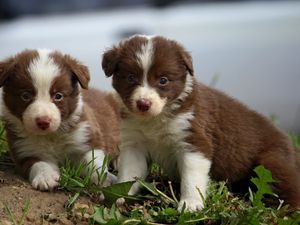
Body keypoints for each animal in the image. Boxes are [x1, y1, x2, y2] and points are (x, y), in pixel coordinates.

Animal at [0, 48, 119, 190]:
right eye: (25, 96)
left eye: (58, 96)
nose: (43, 122)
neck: (52, 135)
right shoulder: (23, 150)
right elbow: (37, 163)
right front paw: (45, 177)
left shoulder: (88, 135)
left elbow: (93, 160)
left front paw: (104, 178)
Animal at [102, 35, 300, 211]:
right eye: (130, 78)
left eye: (163, 80)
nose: (143, 104)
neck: (156, 119)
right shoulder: (134, 144)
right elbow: (130, 173)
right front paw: (119, 196)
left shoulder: (194, 141)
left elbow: (192, 178)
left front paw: (190, 204)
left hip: (272, 162)